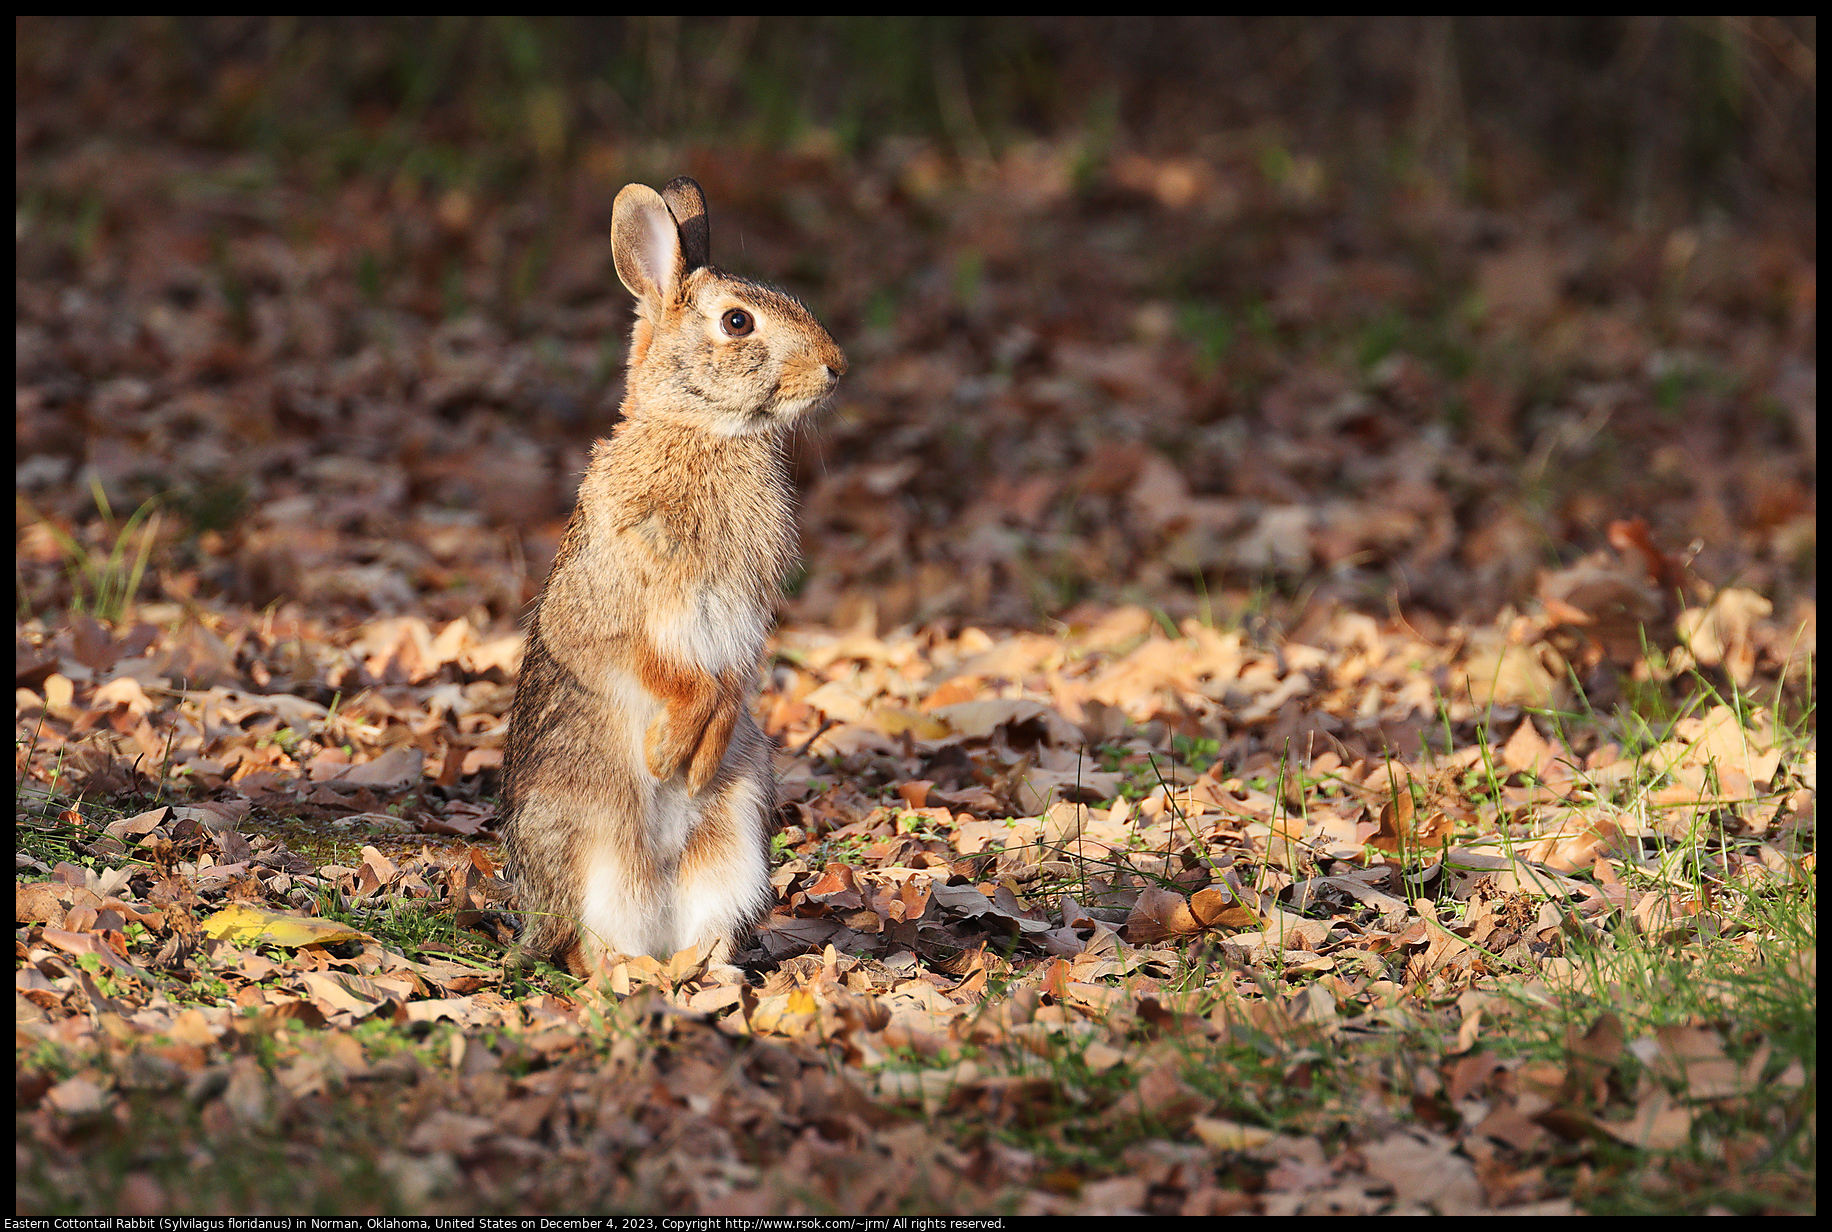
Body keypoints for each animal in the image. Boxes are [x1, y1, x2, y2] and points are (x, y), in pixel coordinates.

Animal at [501, 177, 842, 975]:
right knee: (588, 947)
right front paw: (667, 753)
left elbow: (729, 683)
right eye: (738, 322)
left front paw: (696, 758)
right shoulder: (630, 609)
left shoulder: (742, 619)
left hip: (739, 831)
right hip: (583, 837)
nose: (836, 365)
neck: (703, 431)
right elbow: (674, 674)